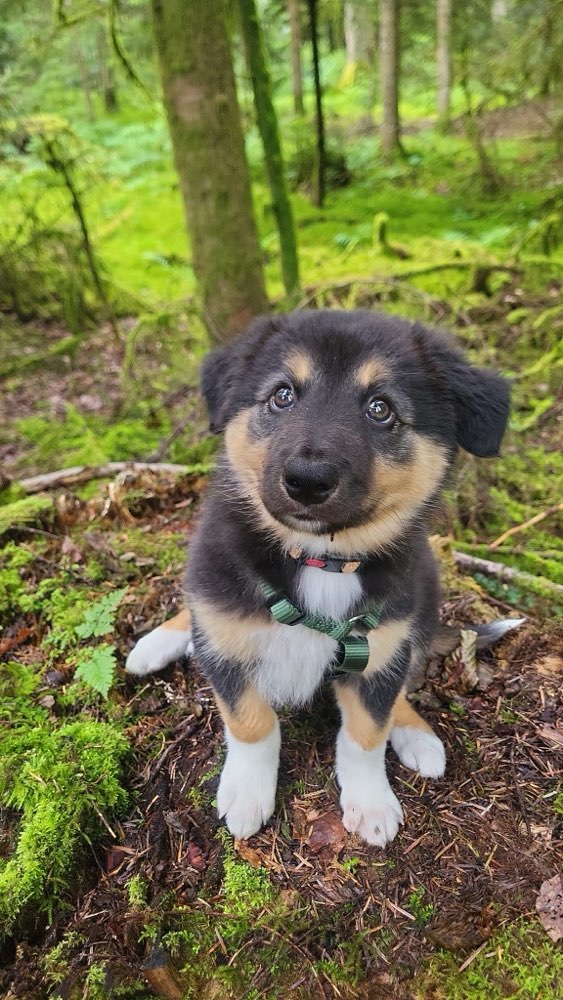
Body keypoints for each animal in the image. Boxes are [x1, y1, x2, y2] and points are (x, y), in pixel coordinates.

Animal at [129, 308, 512, 848]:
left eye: (381, 408)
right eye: (282, 395)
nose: (307, 481)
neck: (321, 560)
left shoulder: (380, 650)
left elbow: (367, 732)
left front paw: (370, 803)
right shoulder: (225, 634)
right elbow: (252, 722)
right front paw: (246, 794)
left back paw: (416, 734)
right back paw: (159, 641)